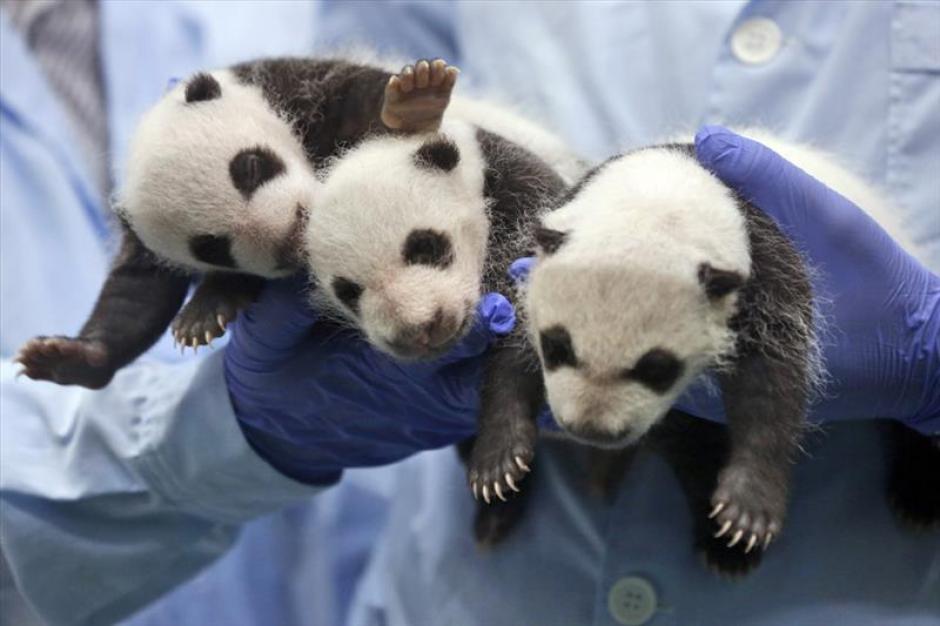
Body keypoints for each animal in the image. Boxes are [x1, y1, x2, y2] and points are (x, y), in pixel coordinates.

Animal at [15, 56, 582, 389]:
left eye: (249, 167)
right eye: (210, 246)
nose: (287, 236)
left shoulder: (291, 87)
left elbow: (362, 101)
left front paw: (412, 100)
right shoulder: (142, 240)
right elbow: (137, 296)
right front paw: (67, 356)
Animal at [523, 132, 939, 574]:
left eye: (658, 369)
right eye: (555, 347)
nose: (592, 430)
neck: (662, 187)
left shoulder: (766, 263)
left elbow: (772, 382)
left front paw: (747, 509)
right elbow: (688, 439)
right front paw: (723, 537)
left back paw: (918, 495)